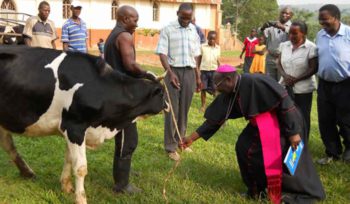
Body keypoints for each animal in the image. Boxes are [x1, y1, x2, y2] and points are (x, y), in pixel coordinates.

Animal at [0, 45, 166, 203]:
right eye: (162, 93)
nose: (167, 106)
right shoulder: (74, 127)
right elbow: (80, 167)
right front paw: (80, 198)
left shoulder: (72, 131)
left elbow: (69, 159)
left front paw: (66, 187)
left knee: (9, 145)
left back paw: (27, 172)